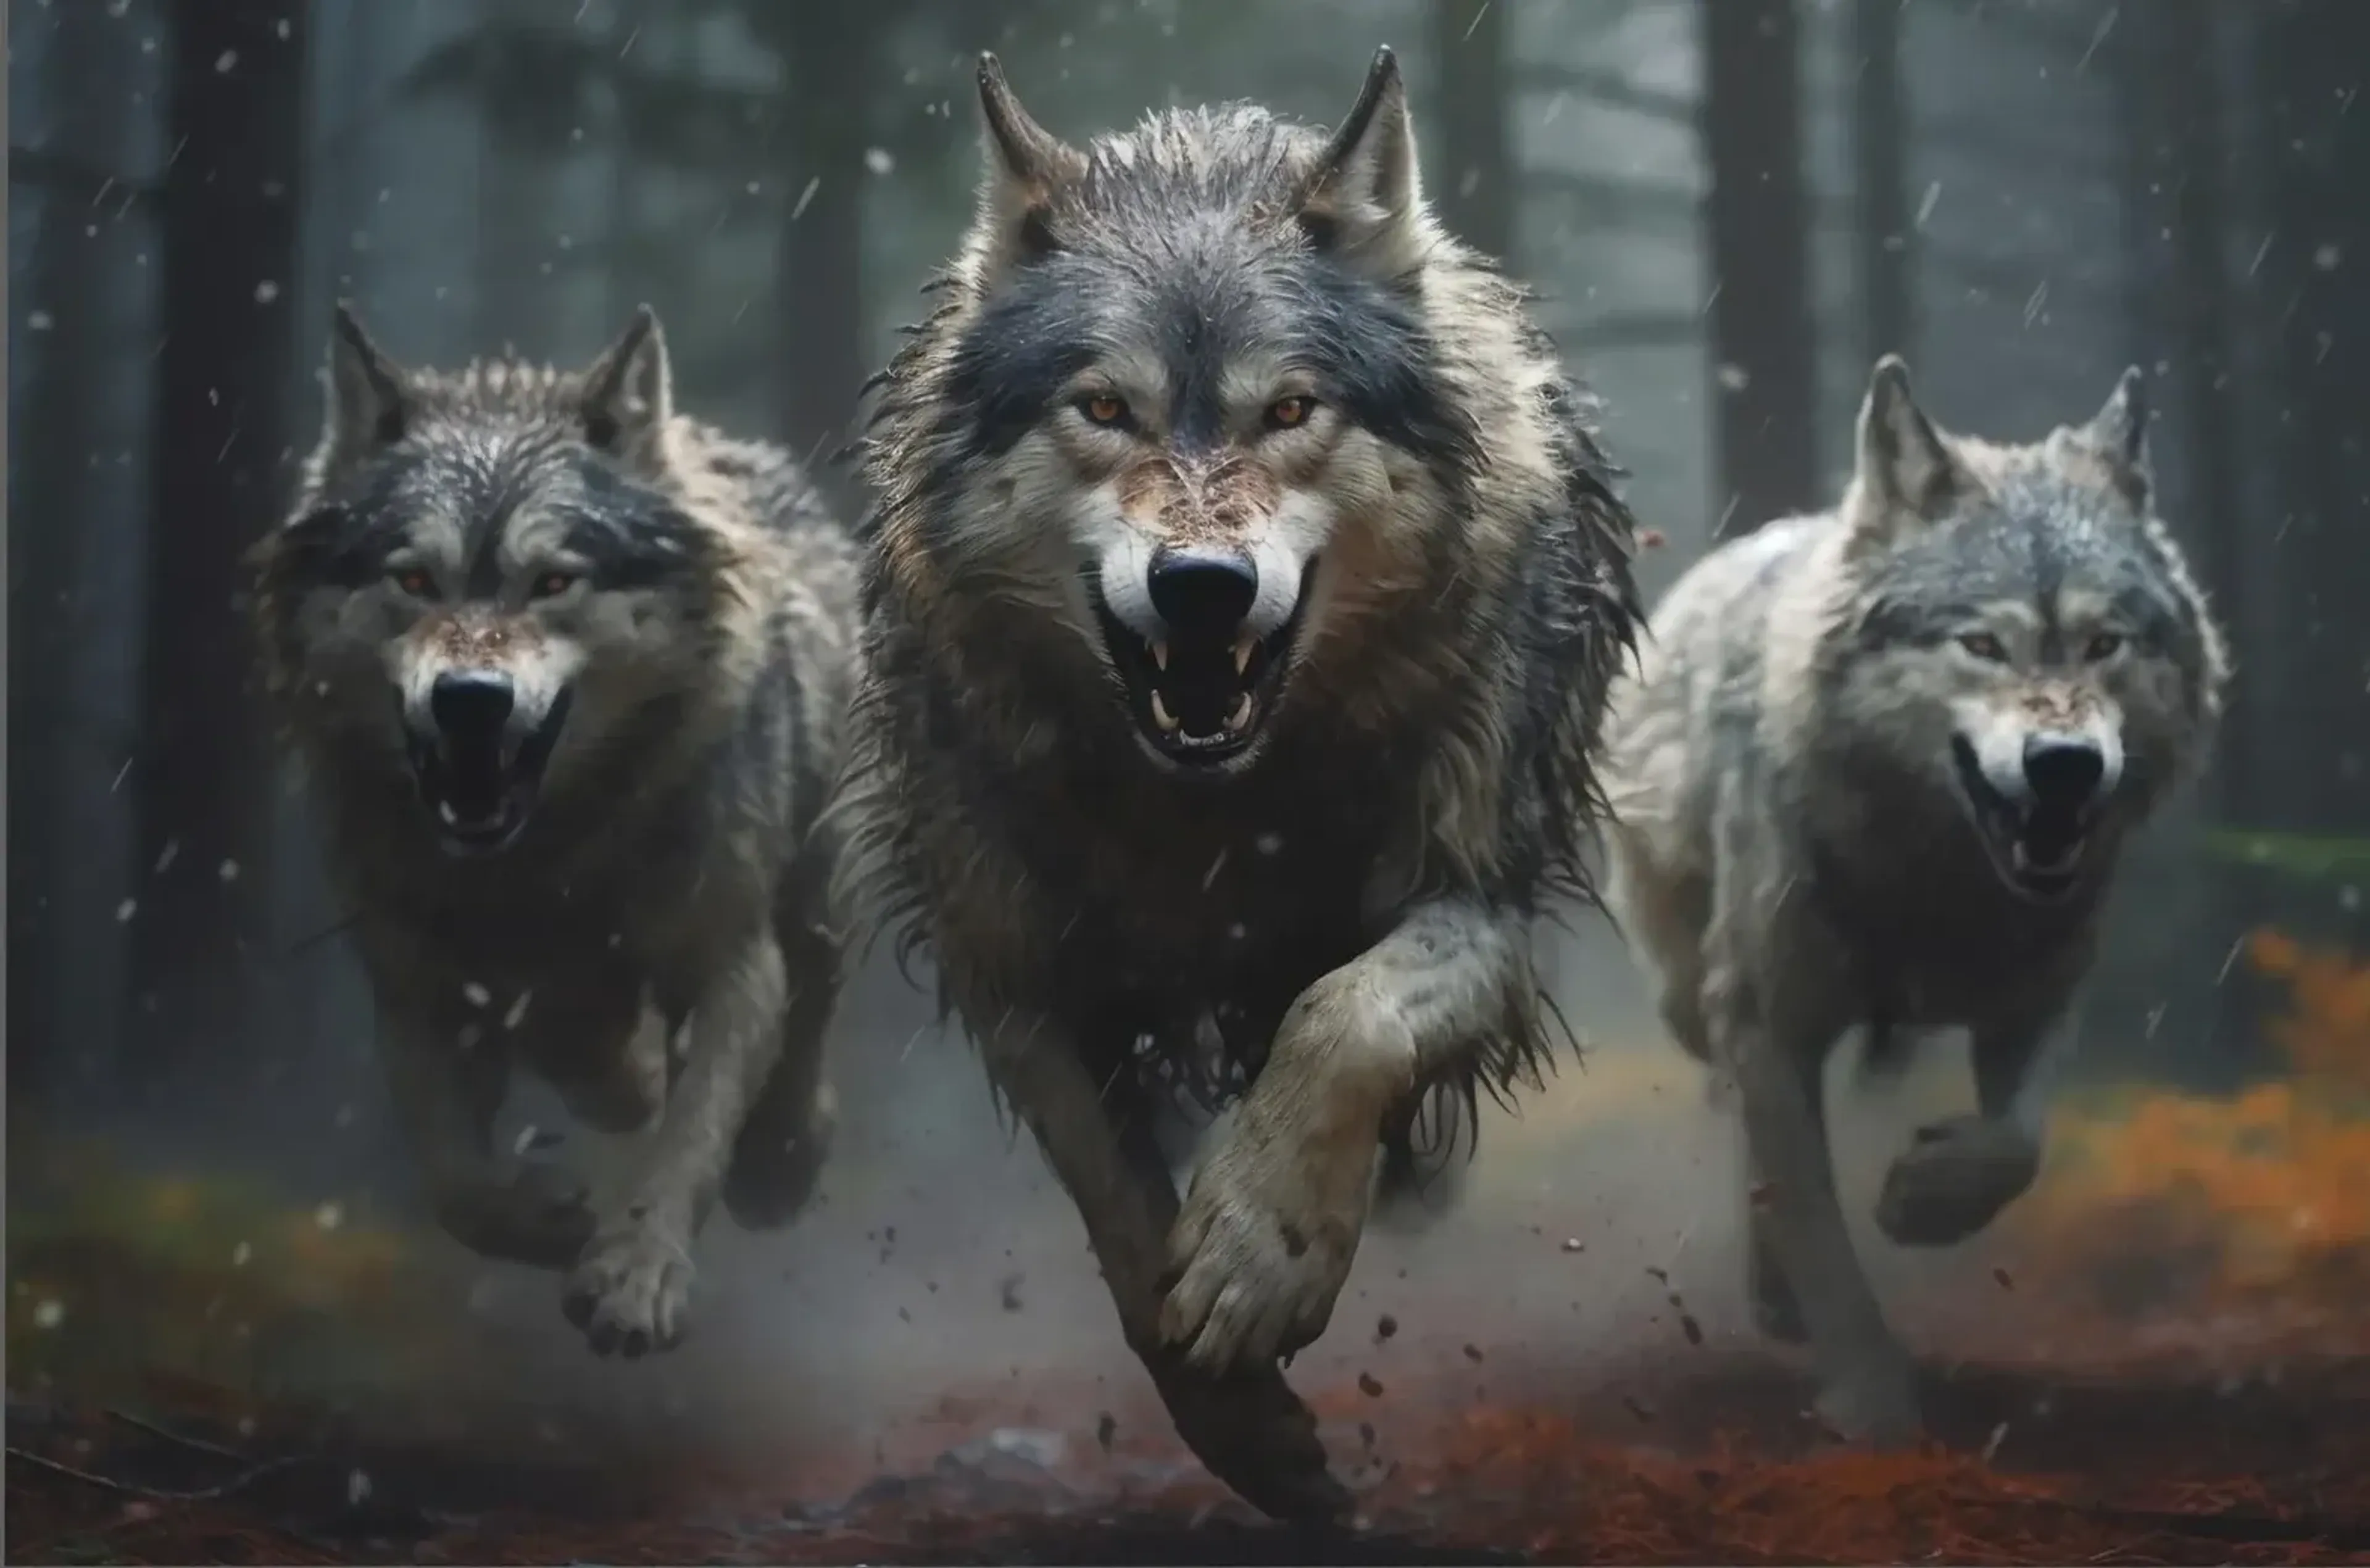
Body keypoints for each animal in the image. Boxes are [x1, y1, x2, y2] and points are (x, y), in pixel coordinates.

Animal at [249, 304, 859, 1358]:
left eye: (551, 583)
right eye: (416, 578)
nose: (470, 699)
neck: (541, 863)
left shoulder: (730, 963)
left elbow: (688, 1145)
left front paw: (638, 1274)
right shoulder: (414, 990)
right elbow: (458, 1185)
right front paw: (554, 1222)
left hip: (809, 898)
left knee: (804, 1027)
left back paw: (778, 1159)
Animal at [835, 47, 1640, 1518]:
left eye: (1290, 410)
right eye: (1105, 408)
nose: (1200, 584)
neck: (1217, 811)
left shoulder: (1481, 900)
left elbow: (1346, 1016)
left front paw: (1263, 1255)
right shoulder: (1015, 967)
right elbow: (1115, 1201)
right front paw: (1241, 1425)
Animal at [1600, 355, 2228, 1442]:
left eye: (2104, 642)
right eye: (1982, 644)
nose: (2065, 764)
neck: (1937, 888)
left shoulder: (2042, 998)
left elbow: (2014, 1146)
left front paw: (1922, 1198)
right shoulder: (1769, 1020)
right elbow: (1819, 1231)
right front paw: (1874, 1406)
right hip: (1695, 998)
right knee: (1746, 1129)